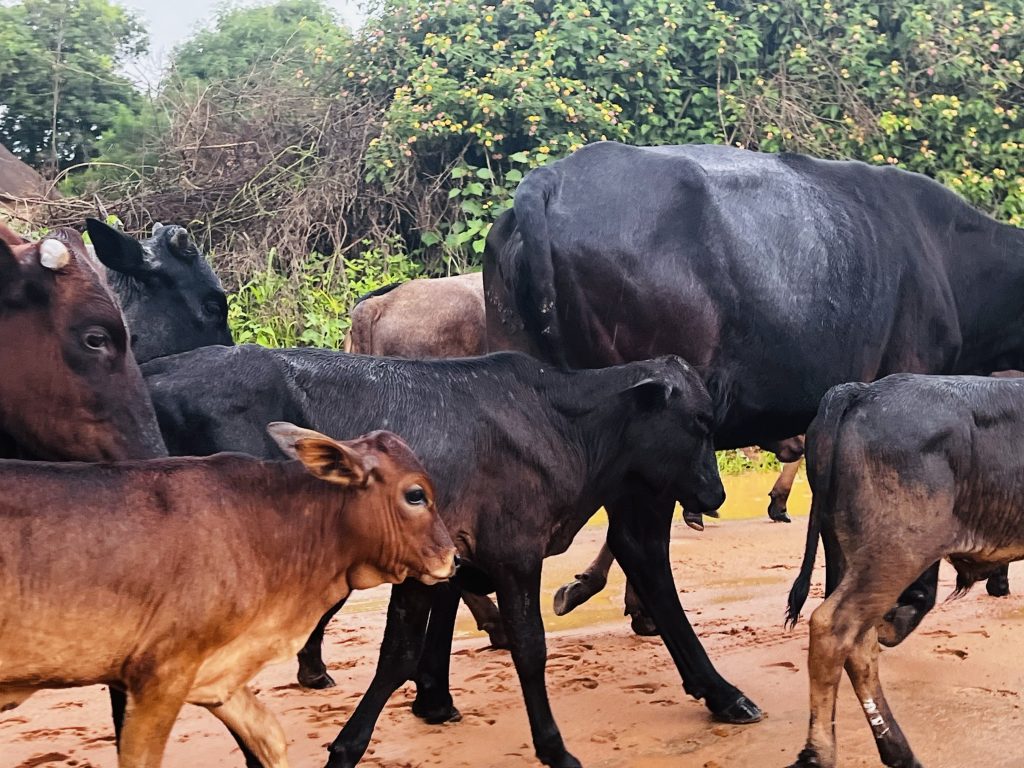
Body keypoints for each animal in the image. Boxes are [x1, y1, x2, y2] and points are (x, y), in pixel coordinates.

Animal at [141, 344, 726, 768]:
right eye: (699, 421)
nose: (716, 494)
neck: (561, 422)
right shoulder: (515, 552)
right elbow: (529, 648)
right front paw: (554, 748)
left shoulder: (436, 567)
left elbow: (401, 652)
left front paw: (354, 744)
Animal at [784, 374, 1024, 768]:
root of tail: (861, 391)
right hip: (894, 555)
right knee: (832, 629)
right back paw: (818, 754)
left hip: (849, 555)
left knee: (860, 644)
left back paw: (899, 752)